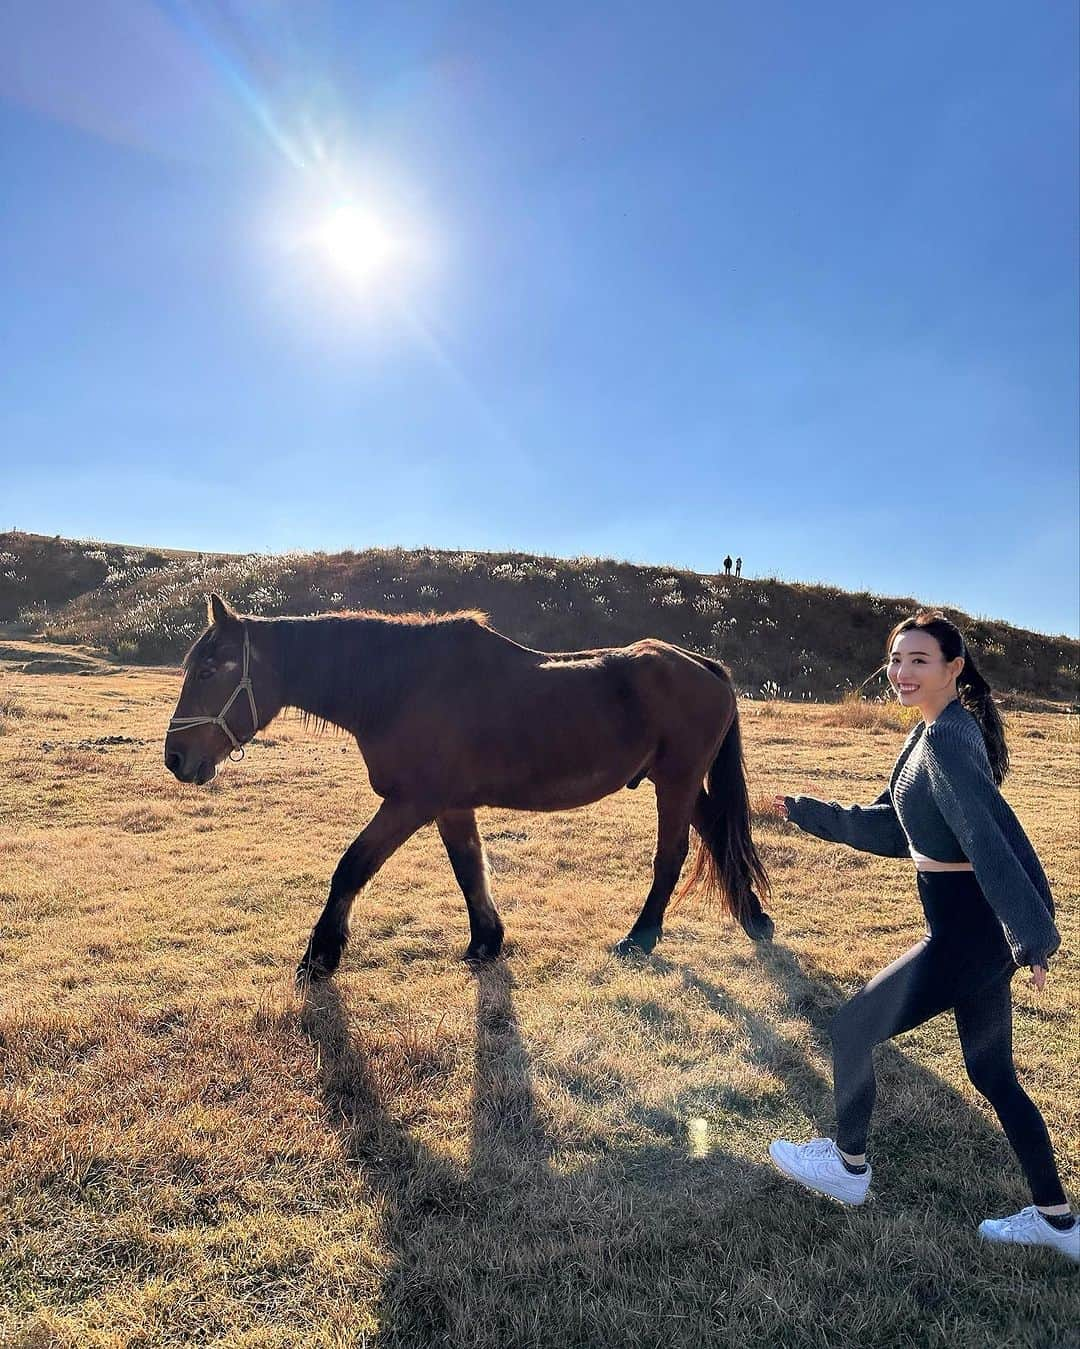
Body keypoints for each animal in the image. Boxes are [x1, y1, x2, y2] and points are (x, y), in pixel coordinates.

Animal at [164, 593, 771, 982]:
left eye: (210, 669)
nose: (176, 758)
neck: (401, 686)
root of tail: (703, 665)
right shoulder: (451, 806)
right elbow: (469, 870)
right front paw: (486, 942)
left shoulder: (412, 801)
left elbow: (352, 867)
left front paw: (320, 956)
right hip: (683, 783)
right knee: (718, 835)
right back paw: (753, 917)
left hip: (676, 782)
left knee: (672, 855)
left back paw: (641, 937)